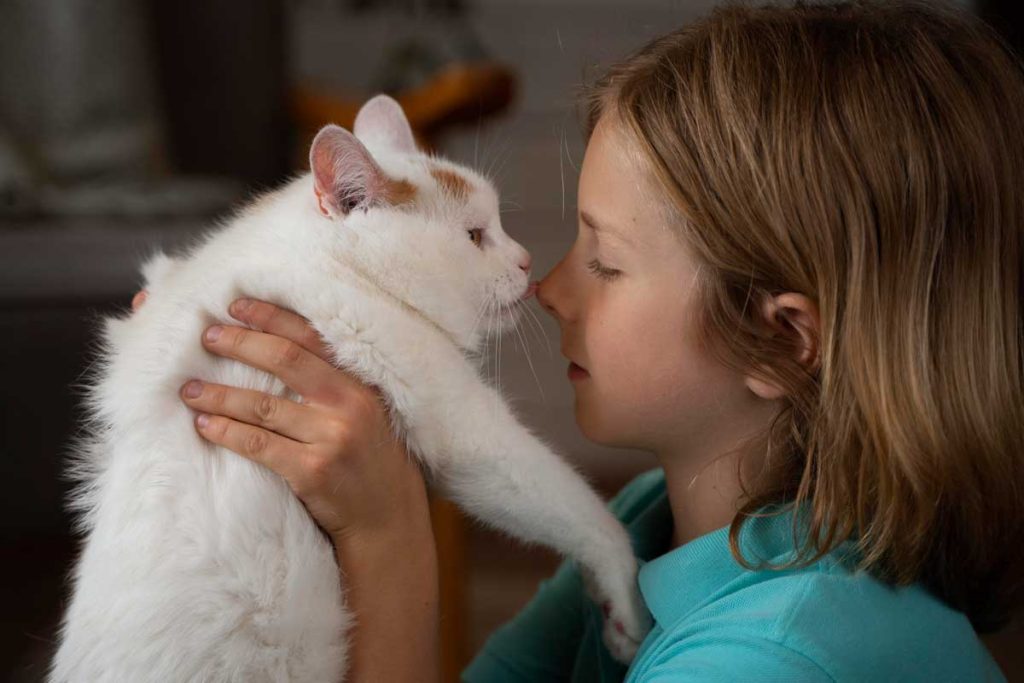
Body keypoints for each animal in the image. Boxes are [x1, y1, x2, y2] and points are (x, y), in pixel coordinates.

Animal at [48, 93, 647, 679]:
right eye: (475, 236)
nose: (527, 263)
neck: (330, 264)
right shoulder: (466, 430)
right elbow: (576, 507)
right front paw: (625, 592)